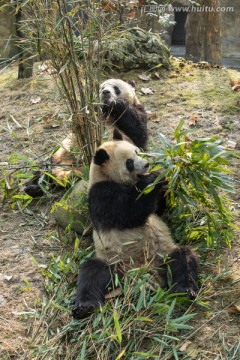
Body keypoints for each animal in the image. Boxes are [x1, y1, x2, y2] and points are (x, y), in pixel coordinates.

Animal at [72, 139, 199, 320]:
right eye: (129, 163)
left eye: (138, 151)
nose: (147, 164)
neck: (105, 175)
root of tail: (144, 272)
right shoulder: (101, 193)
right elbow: (128, 211)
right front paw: (155, 177)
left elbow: (158, 209)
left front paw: (171, 170)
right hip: (114, 262)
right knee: (92, 273)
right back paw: (84, 307)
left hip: (163, 254)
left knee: (183, 261)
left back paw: (184, 290)